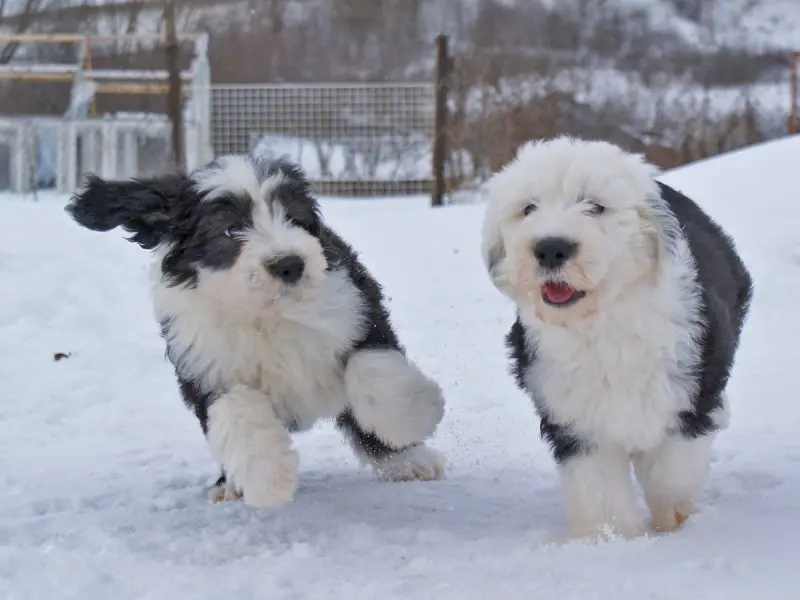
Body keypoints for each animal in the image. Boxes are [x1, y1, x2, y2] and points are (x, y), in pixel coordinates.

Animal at [65, 151, 446, 506]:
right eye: (230, 229)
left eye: (293, 216)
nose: (290, 264)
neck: (266, 313)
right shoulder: (208, 366)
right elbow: (238, 415)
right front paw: (269, 478)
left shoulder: (356, 309)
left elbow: (373, 371)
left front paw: (414, 418)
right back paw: (229, 485)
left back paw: (410, 461)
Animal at [482, 138, 752, 540]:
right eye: (528, 208)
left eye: (595, 206)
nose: (550, 248)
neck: (602, 320)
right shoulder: (573, 412)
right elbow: (597, 484)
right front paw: (606, 536)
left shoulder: (688, 390)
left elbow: (672, 469)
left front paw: (672, 524)